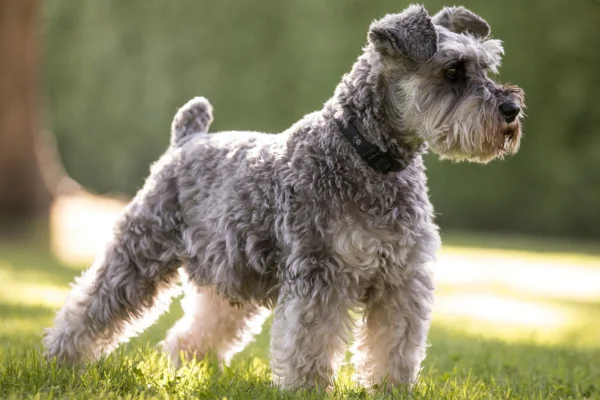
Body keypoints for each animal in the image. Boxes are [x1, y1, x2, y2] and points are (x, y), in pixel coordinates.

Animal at [44, 3, 524, 390]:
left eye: (487, 67)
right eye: (453, 70)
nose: (512, 109)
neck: (366, 156)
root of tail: (187, 139)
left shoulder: (401, 280)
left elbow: (395, 346)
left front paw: (391, 389)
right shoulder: (321, 276)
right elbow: (311, 343)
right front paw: (307, 388)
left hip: (229, 275)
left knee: (198, 326)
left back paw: (190, 367)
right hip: (139, 254)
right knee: (88, 306)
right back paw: (60, 359)